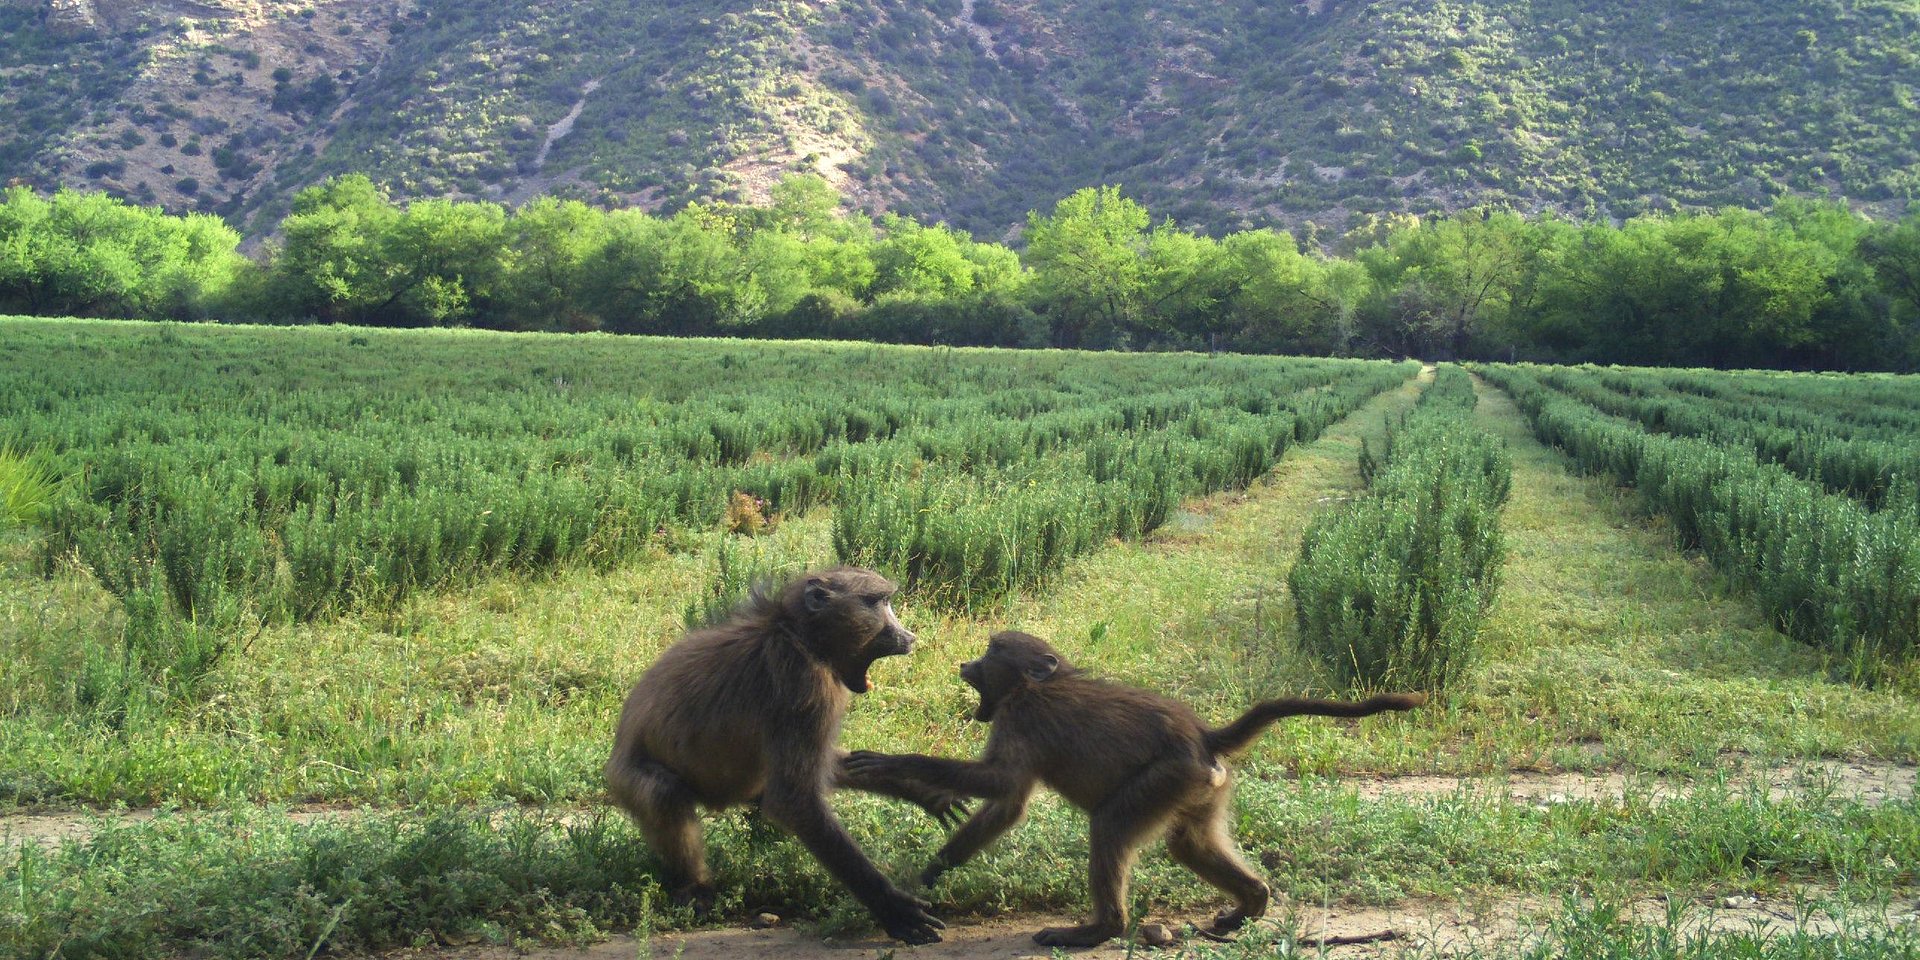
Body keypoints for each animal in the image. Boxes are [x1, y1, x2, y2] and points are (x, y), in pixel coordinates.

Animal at [605, 566, 962, 945]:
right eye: (878, 603)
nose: (909, 637)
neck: (798, 635)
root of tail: (615, 754)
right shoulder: (805, 687)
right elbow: (794, 799)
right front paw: (892, 908)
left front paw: (925, 791)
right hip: (628, 779)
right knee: (663, 793)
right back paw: (695, 890)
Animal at [845, 630, 1426, 947]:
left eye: (991, 652)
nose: (965, 663)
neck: (1038, 684)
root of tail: (1203, 738)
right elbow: (1006, 805)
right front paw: (930, 872)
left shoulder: (1020, 716)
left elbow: (1002, 785)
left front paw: (885, 764)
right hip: (1198, 788)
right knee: (1187, 844)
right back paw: (1249, 903)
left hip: (1165, 778)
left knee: (1109, 828)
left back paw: (1097, 930)